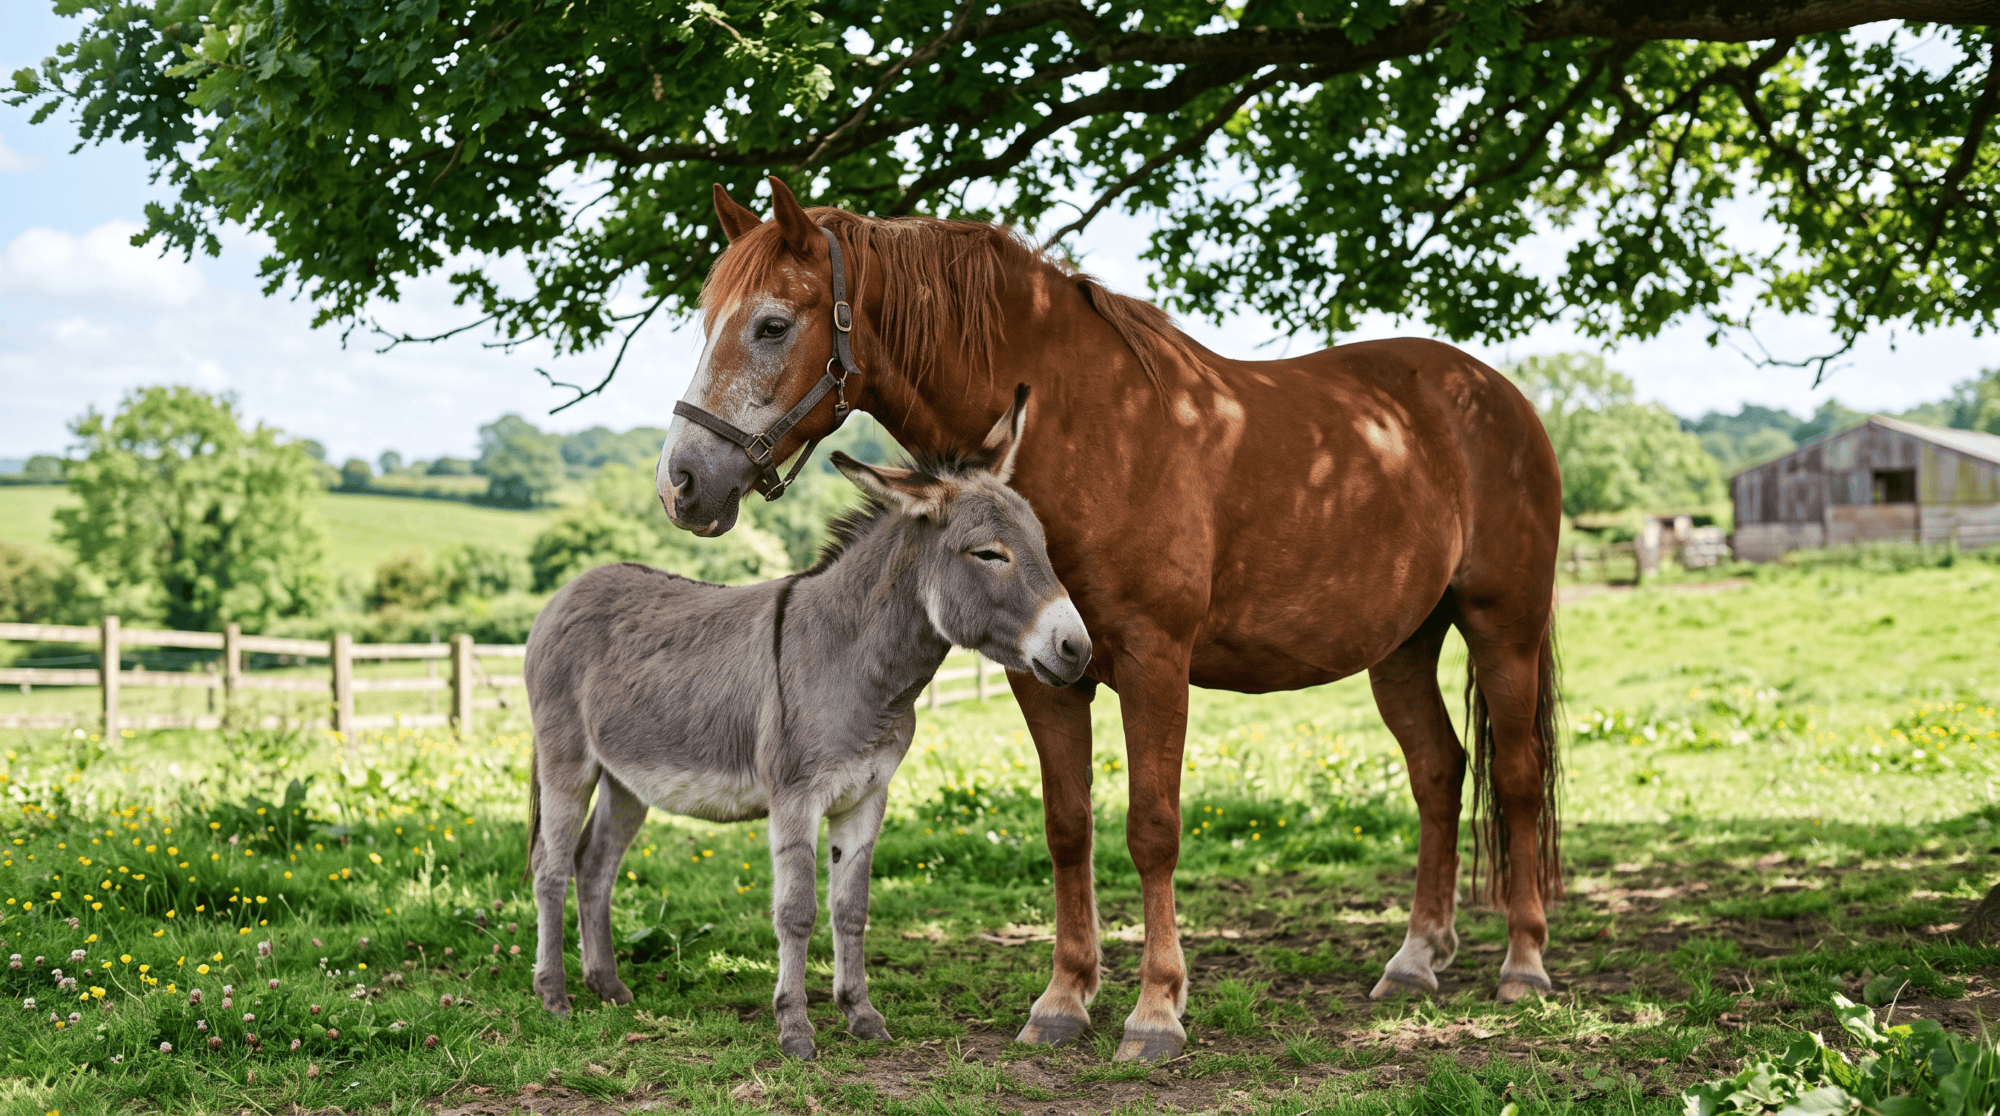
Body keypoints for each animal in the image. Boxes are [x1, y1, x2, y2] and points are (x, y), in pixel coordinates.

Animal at [525, 387, 1091, 1059]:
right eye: (988, 555)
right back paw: (554, 997)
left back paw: (607, 986)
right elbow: (796, 910)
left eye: (1043, 546)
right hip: (567, 762)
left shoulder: (867, 796)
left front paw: (861, 1014)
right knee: (551, 867)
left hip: (627, 779)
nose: (1078, 650)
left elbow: (853, 909)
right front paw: (794, 1027)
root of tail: (567, 589)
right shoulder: (795, 797)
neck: (857, 664)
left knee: (594, 865)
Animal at [657, 176, 1563, 1063]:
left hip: (1504, 629)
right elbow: (1069, 828)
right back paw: (1415, 960)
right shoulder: (1046, 674)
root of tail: (1494, 396)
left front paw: (1155, 1012)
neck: (1091, 429)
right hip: (1403, 647)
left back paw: (1523, 964)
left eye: (773, 324)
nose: (682, 484)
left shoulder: (1154, 663)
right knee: (1439, 772)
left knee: (1516, 780)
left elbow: (1152, 829)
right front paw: (1062, 1002)